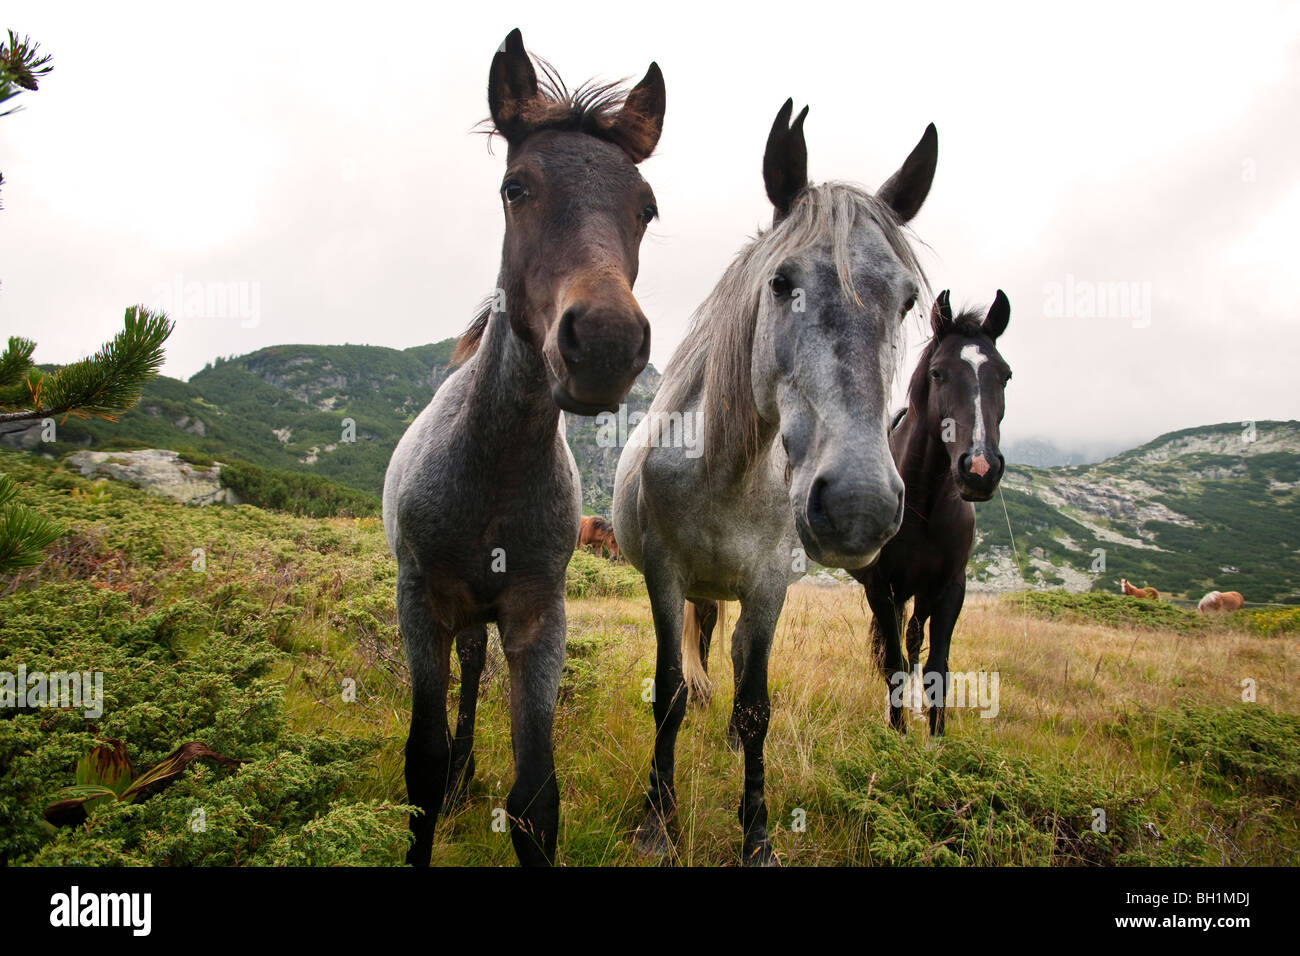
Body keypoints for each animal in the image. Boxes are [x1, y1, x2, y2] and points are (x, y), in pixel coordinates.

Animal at [381, 28, 665, 867]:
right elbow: (420, 763)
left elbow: (537, 796)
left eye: (646, 207)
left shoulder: (540, 613)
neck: (494, 469)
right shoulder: (420, 601)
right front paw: (441, 787)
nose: (604, 341)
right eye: (516, 188)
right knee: (467, 673)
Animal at [613, 99, 938, 865]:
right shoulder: (664, 575)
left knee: (732, 658)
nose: (857, 504)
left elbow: (757, 702)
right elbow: (669, 692)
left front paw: (757, 834)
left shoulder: (767, 585)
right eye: (782, 282)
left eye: (908, 302)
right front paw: (656, 823)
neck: (725, 473)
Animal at [849, 290, 1012, 736]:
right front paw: (897, 733)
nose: (980, 469)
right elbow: (893, 664)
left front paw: (936, 736)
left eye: (1005, 375)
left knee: (912, 639)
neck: (924, 504)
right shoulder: (880, 586)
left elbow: (937, 666)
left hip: (919, 592)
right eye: (939, 373)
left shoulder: (950, 588)